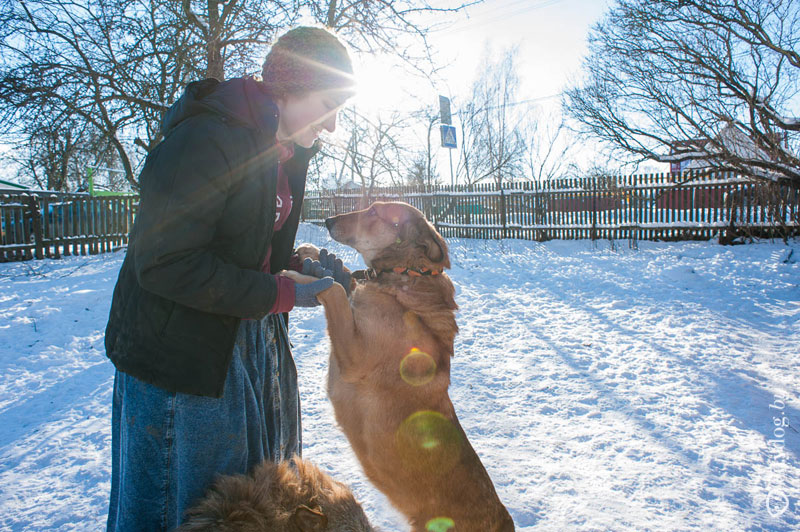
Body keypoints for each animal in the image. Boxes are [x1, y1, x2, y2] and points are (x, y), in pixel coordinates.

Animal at [284, 203, 516, 532]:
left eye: (374, 211)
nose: (327, 220)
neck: (404, 277)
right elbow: (344, 280)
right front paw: (312, 253)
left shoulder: (352, 357)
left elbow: (335, 290)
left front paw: (297, 277)